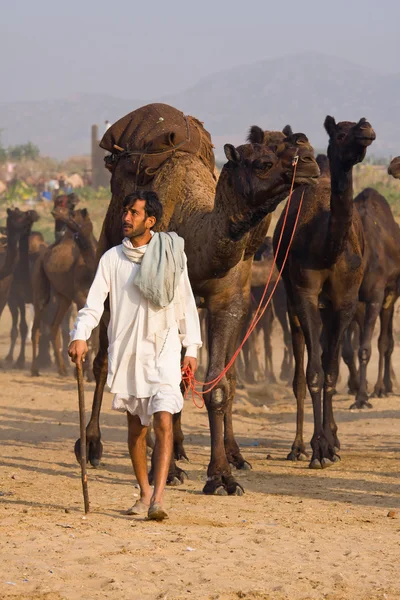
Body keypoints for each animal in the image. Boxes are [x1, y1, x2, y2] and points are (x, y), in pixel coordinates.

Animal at [76, 104, 320, 496]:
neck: (194, 237)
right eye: (262, 162)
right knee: (102, 361)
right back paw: (93, 445)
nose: (311, 160)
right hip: (108, 263)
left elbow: (217, 385)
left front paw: (221, 475)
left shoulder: (226, 303)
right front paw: (168, 470)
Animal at [272, 115, 376, 466]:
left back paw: (334, 436)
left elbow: (330, 374)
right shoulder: (304, 295)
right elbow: (313, 374)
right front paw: (317, 448)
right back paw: (297, 446)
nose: (367, 130)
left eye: (360, 123)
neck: (325, 247)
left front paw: (329, 444)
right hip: (291, 302)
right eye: (340, 133)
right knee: (300, 374)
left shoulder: (345, 302)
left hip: (330, 309)